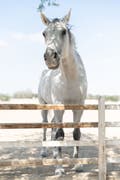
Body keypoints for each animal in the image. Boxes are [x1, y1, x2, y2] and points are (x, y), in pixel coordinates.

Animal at [38, 10, 87, 176]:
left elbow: (76, 134)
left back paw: (54, 153)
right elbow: (60, 134)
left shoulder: (79, 107)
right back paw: (44, 152)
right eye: (44, 33)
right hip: (44, 106)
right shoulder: (59, 106)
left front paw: (78, 165)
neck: (70, 77)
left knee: (53, 126)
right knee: (46, 126)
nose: (50, 58)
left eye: (64, 31)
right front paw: (59, 168)